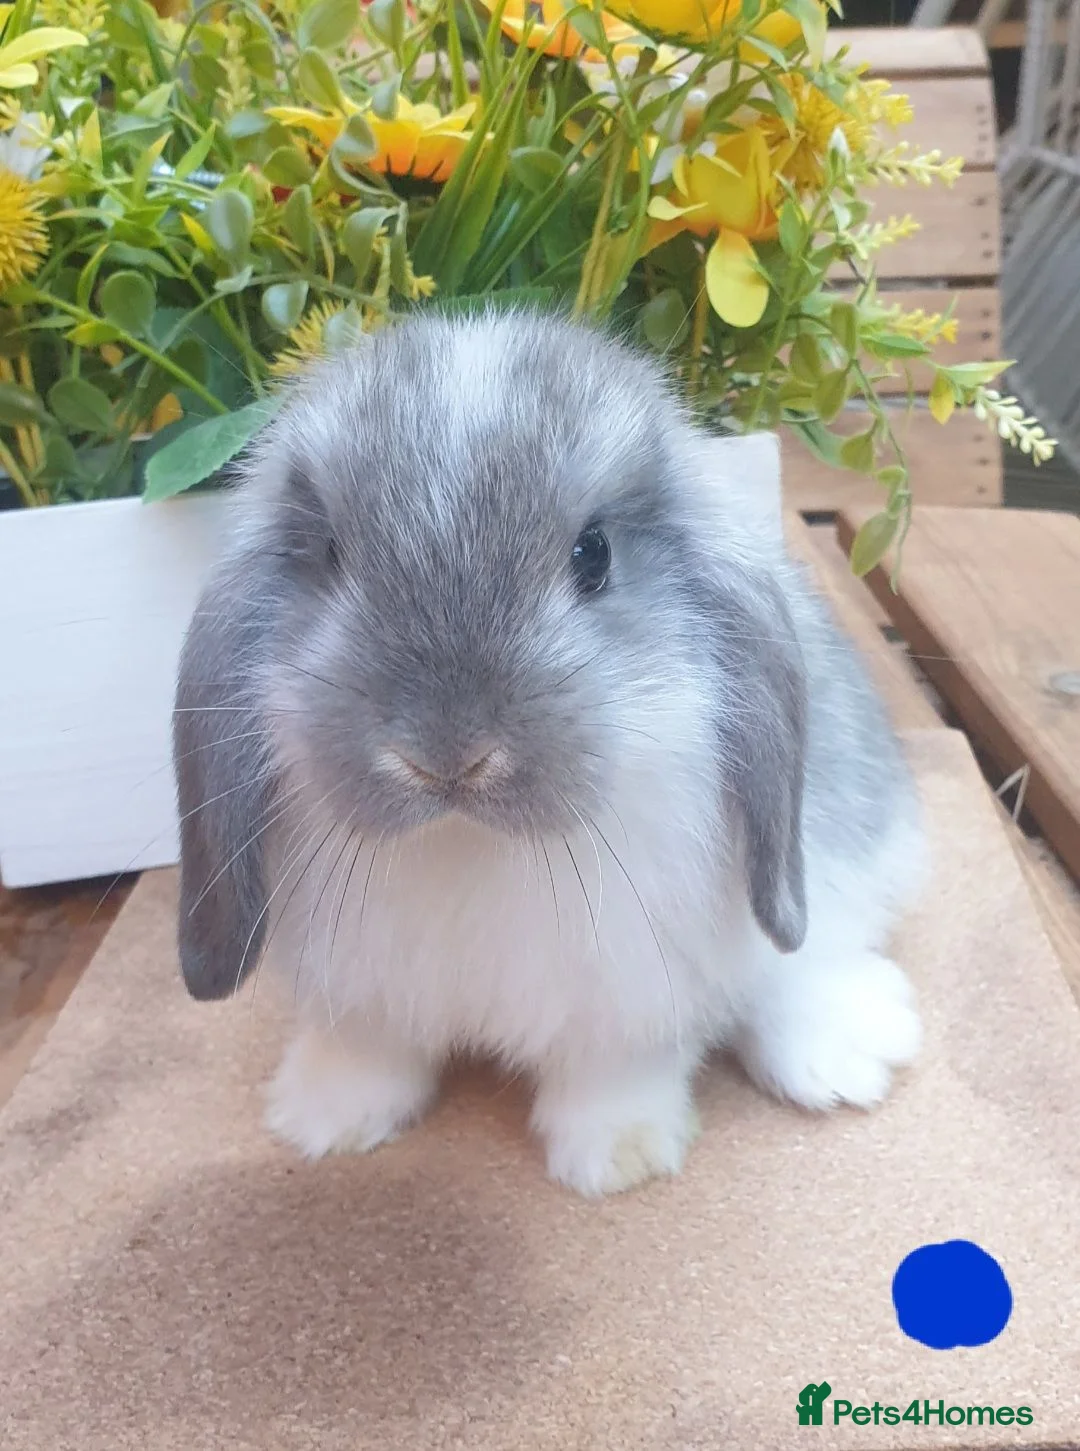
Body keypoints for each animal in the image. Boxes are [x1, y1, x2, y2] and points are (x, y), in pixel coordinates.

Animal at [173, 309, 925, 1198]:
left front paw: (616, 1158)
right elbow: (369, 1049)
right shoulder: (362, 989)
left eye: (592, 554)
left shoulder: (630, 993)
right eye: (330, 556)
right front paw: (327, 1118)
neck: (465, 841)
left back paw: (845, 1054)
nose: (447, 756)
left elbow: (615, 1072)